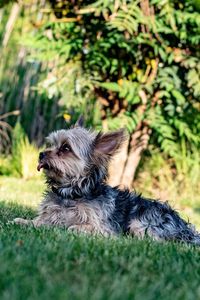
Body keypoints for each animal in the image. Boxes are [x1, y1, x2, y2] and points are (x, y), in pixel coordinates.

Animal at [13, 117, 200, 246]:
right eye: (51, 144)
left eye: (65, 148)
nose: (41, 154)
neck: (71, 194)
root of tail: (186, 228)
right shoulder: (50, 217)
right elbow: (39, 222)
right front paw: (23, 221)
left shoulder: (102, 228)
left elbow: (77, 227)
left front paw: (74, 229)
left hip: (140, 223)